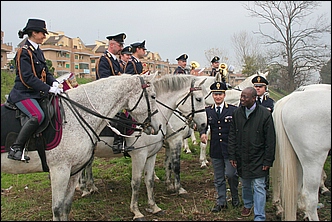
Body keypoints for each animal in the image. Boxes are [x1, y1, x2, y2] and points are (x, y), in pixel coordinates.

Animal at [0, 74, 161, 220]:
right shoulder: (60, 170)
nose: (158, 126)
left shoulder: (74, 170)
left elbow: (66, 206)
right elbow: (57, 209)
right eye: (153, 96)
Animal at [77, 74, 208, 220]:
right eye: (198, 99)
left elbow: (150, 179)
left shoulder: (153, 154)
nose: (204, 124)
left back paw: (91, 187)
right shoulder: (142, 154)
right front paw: (136, 211)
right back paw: (84, 189)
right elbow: (138, 181)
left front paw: (154, 206)